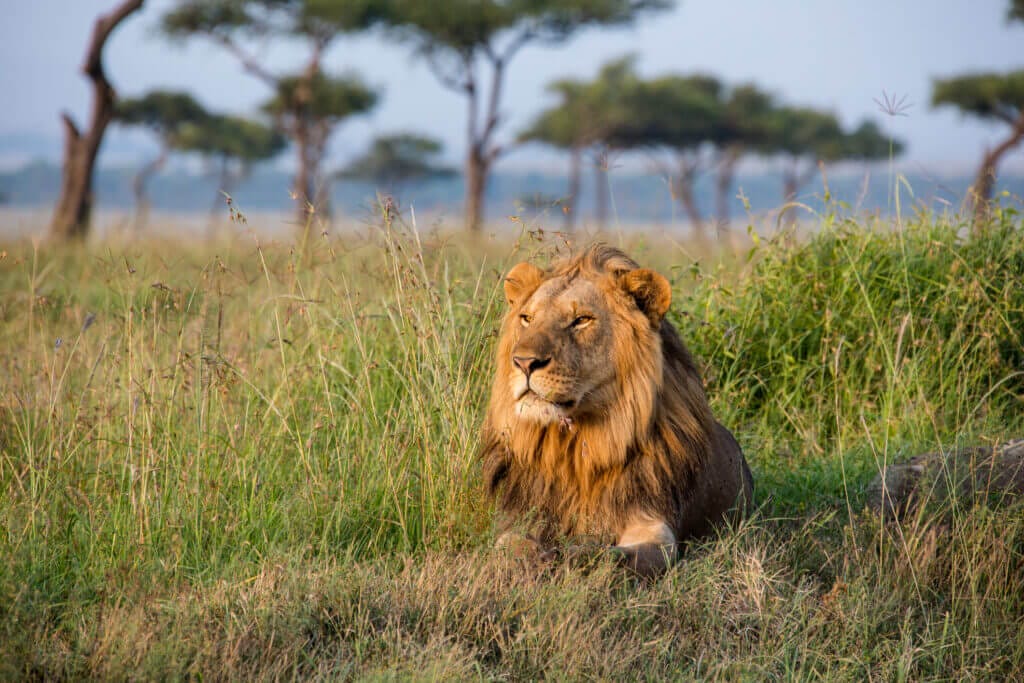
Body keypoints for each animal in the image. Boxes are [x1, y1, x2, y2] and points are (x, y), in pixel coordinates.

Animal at [477, 245, 753, 577]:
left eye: (582, 319)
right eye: (527, 318)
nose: (523, 362)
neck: (576, 450)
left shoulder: (655, 527)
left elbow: (609, 557)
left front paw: (571, 555)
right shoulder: (520, 518)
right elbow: (508, 548)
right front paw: (534, 561)